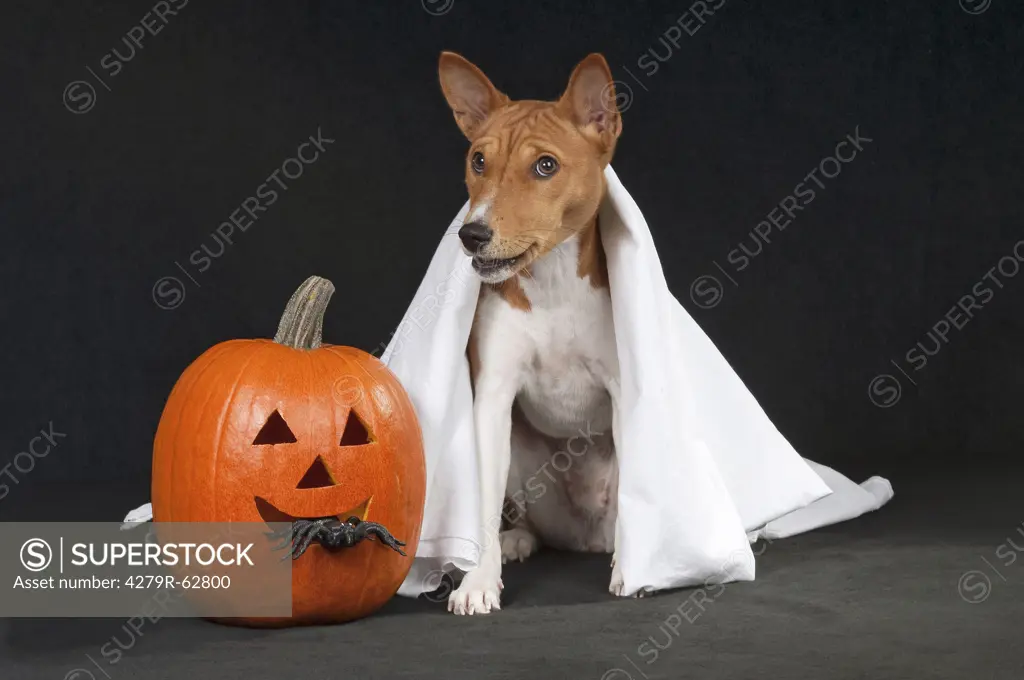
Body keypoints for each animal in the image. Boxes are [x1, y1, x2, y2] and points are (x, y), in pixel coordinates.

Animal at [438, 51, 626, 614]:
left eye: (545, 165)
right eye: (478, 160)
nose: (471, 234)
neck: (553, 286)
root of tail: (585, 535)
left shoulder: (625, 389)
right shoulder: (493, 397)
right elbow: (479, 499)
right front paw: (478, 582)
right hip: (519, 457)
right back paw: (516, 540)